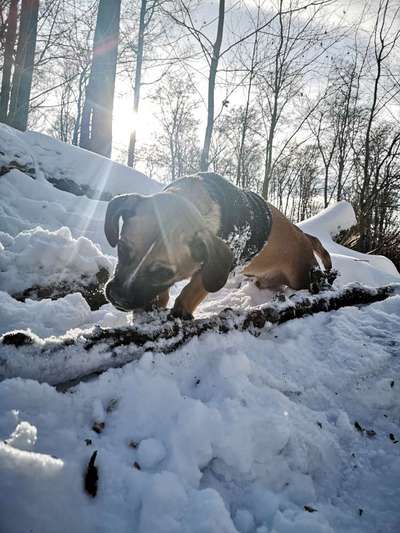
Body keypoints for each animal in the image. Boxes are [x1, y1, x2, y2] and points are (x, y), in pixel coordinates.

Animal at [103, 172, 332, 318]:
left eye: (163, 272)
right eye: (121, 249)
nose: (118, 297)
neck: (196, 201)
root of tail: (303, 236)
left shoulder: (220, 263)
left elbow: (194, 288)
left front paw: (180, 311)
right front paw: (156, 305)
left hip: (302, 276)